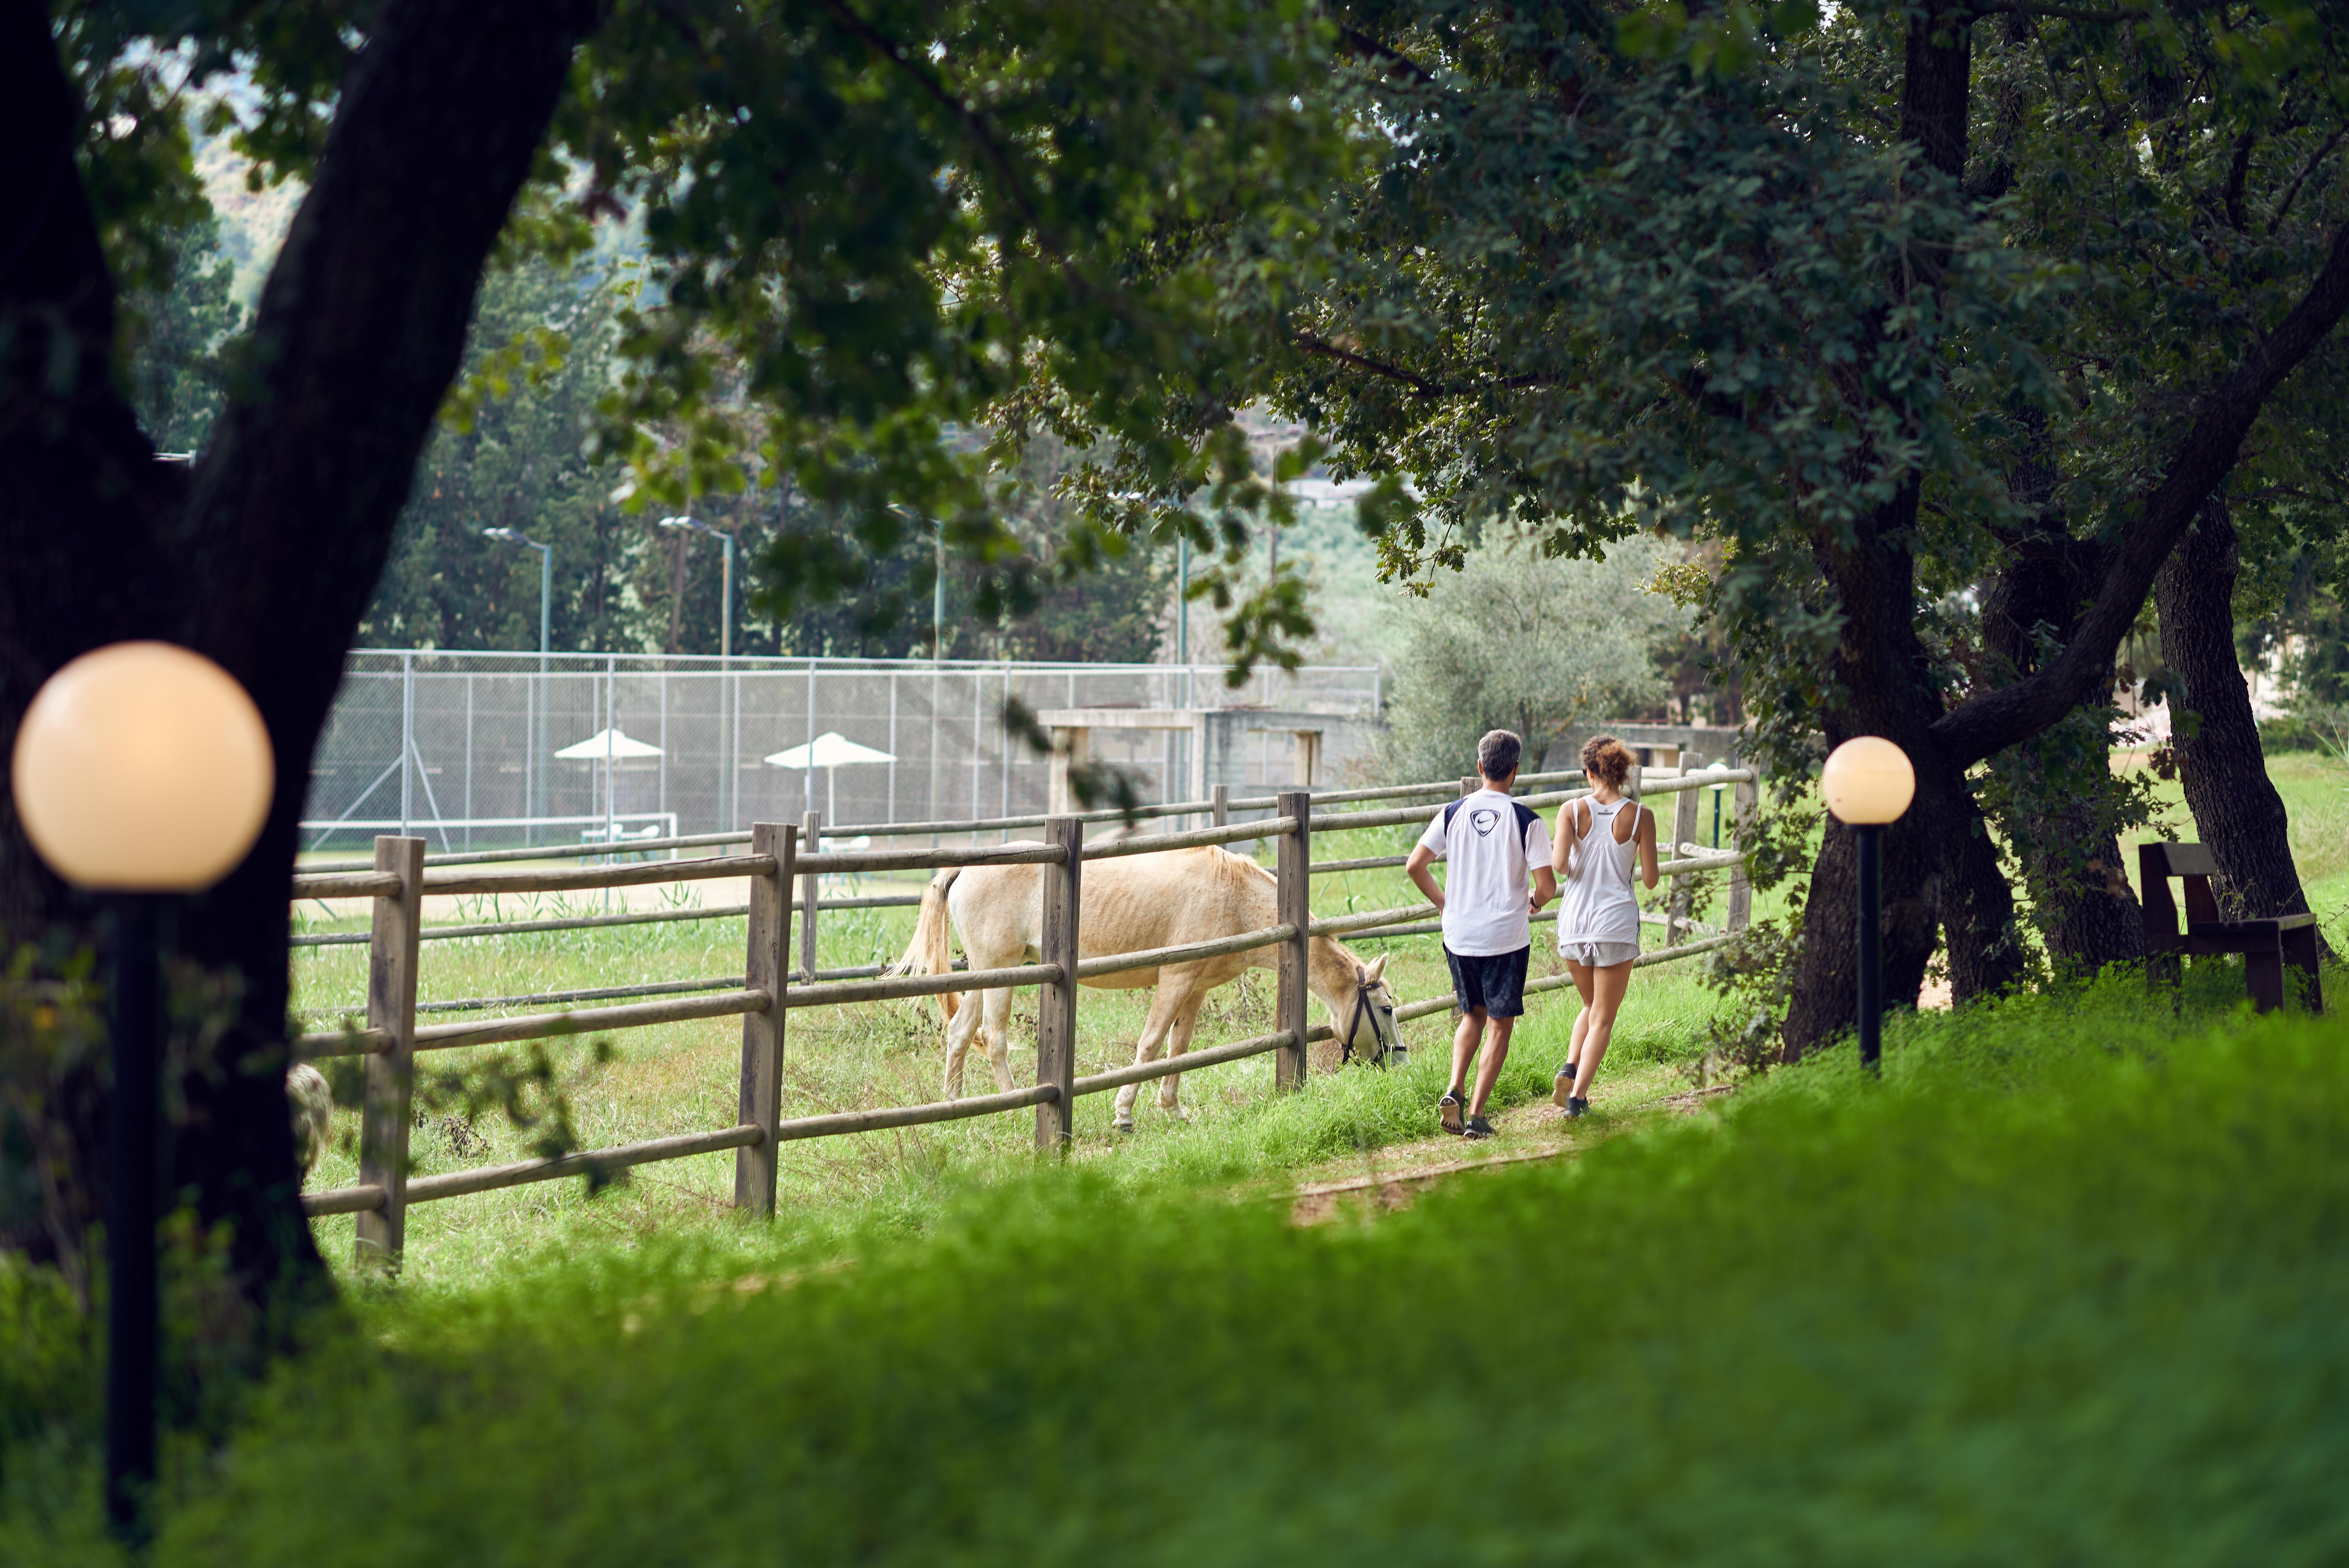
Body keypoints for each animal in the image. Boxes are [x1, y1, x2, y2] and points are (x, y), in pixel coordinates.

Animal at [883, 845, 1390, 1126]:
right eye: (1386, 1008)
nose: (1397, 1059)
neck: (1233, 895)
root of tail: (965, 869)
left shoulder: (1196, 987)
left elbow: (1179, 1048)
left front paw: (1174, 1109)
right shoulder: (1175, 980)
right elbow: (1149, 1044)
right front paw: (1125, 1113)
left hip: (989, 972)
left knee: (961, 1032)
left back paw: (954, 1105)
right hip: (1001, 971)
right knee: (995, 1037)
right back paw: (1012, 1105)